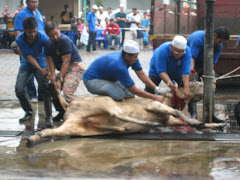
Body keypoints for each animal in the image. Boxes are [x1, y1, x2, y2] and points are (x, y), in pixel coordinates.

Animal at [27, 81, 224, 147]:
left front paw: (216, 124)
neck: (167, 99)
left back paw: (32, 139)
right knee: (117, 113)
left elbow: (185, 119)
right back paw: (145, 125)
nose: (214, 83)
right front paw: (200, 123)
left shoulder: (168, 120)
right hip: (105, 102)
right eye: (194, 83)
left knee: (49, 131)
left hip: (73, 127)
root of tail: (69, 108)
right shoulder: (154, 105)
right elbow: (178, 112)